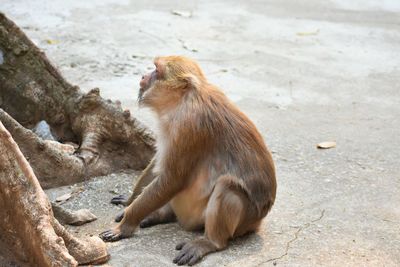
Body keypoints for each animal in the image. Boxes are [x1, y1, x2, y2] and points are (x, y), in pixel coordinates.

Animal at [100, 56, 276, 266]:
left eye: (157, 70)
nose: (143, 76)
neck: (183, 100)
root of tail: (258, 221)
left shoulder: (190, 127)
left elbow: (172, 179)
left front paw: (125, 225)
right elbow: (158, 164)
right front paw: (129, 201)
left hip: (230, 219)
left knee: (227, 186)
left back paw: (210, 242)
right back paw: (160, 215)